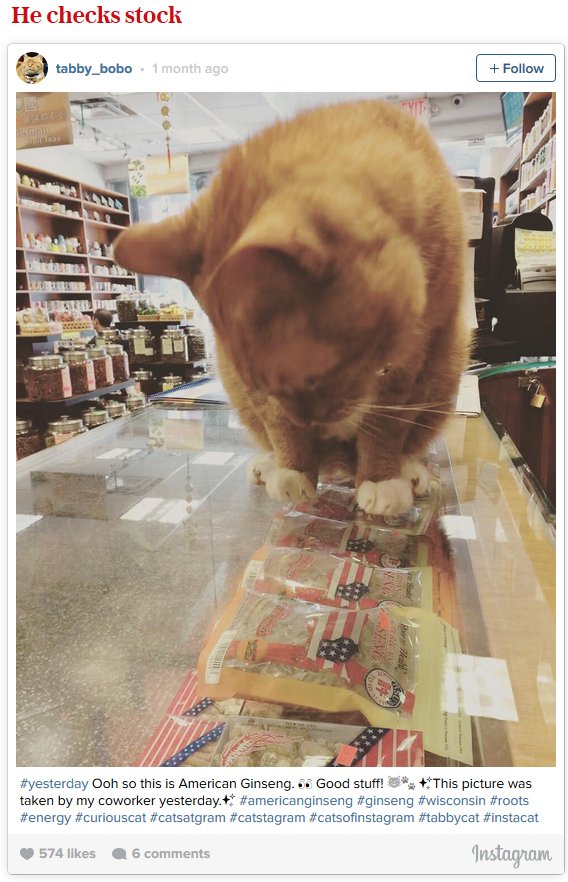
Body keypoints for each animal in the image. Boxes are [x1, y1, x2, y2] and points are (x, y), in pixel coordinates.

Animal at [115, 99, 470, 512]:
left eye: (320, 377)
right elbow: (278, 425)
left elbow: (385, 426)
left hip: (446, 372)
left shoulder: (415, 357)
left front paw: (381, 478)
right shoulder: (254, 390)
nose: (311, 424)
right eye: (265, 385)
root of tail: (336, 461)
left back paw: (407, 470)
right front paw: (294, 469)